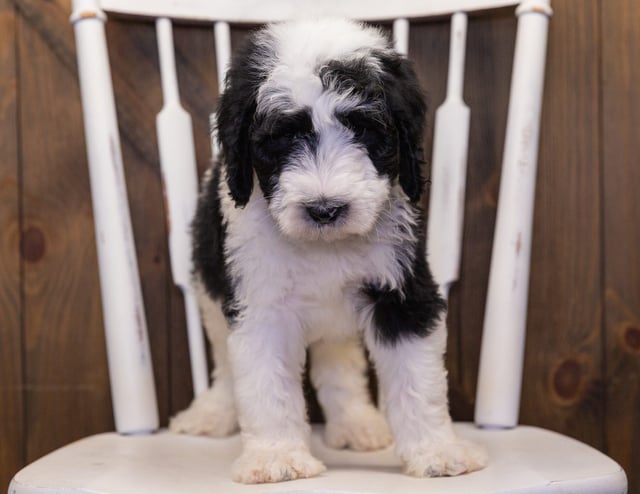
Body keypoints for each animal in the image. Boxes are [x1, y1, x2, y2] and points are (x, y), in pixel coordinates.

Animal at [172, 18, 488, 482]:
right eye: (282, 137)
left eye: (366, 130)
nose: (324, 209)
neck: (323, 248)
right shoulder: (259, 304)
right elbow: (265, 386)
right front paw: (277, 457)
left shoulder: (403, 292)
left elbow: (418, 378)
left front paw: (438, 451)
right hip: (209, 292)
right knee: (226, 368)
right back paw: (211, 413)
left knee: (339, 364)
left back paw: (357, 424)